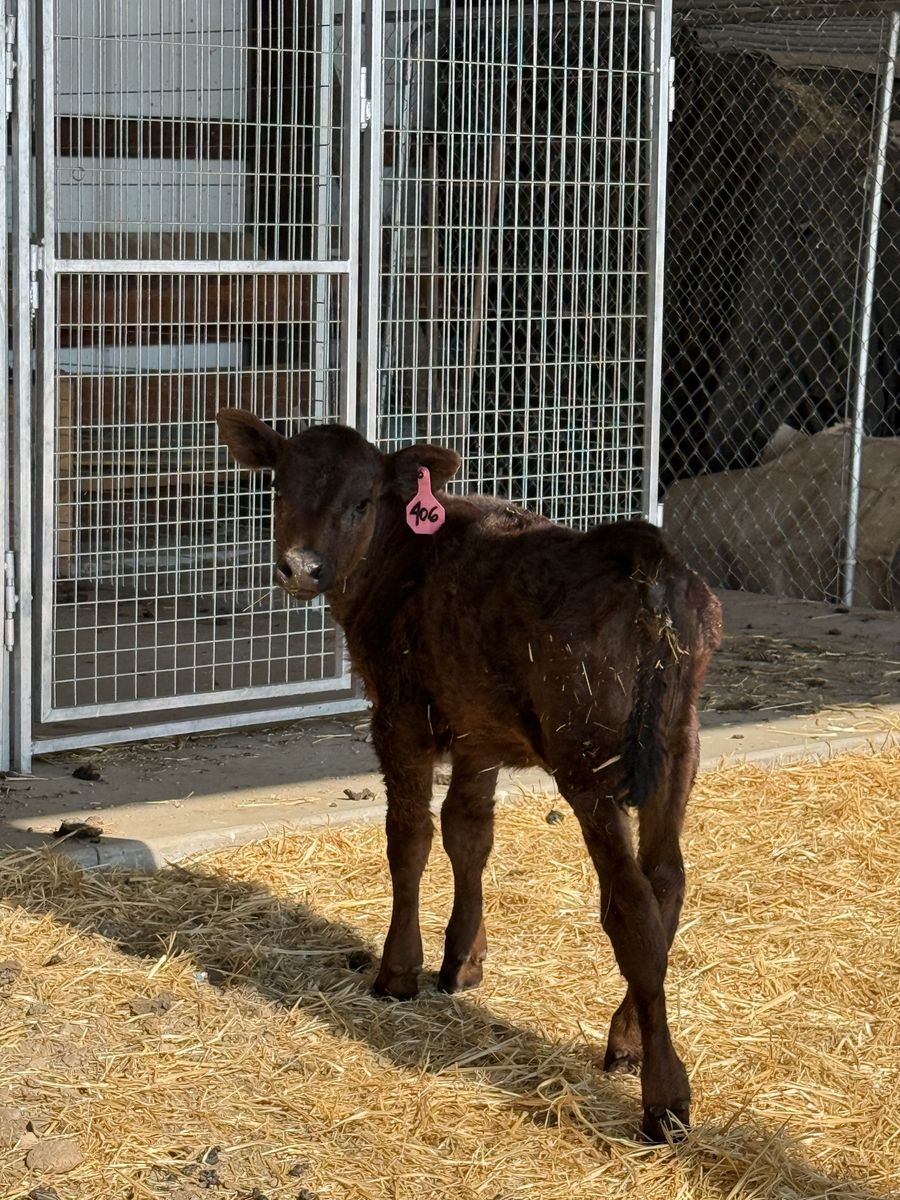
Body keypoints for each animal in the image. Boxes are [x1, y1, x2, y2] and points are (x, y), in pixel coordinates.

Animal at [216, 409, 723, 1141]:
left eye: (363, 500)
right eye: (280, 485)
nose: (300, 567)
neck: (404, 559)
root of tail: (645, 556)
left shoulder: (400, 714)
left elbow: (410, 838)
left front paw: (399, 970)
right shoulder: (478, 727)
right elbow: (469, 833)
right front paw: (462, 960)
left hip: (588, 758)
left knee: (630, 905)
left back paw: (665, 1098)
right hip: (680, 745)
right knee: (667, 883)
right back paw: (626, 1037)